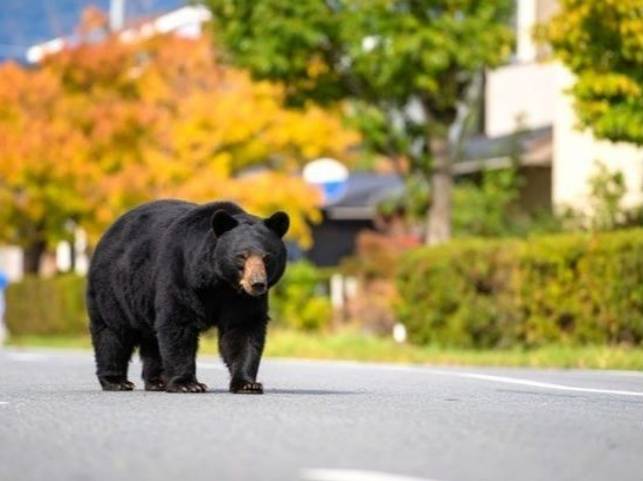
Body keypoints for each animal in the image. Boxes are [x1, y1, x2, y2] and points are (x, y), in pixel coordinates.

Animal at [86, 199, 289, 394]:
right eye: (241, 256)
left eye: (267, 257)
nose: (257, 284)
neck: (219, 283)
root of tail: (110, 229)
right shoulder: (181, 274)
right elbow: (178, 323)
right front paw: (188, 384)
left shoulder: (241, 299)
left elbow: (243, 329)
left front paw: (247, 384)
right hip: (113, 287)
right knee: (112, 332)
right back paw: (116, 381)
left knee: (152, 339)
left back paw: (157, 381)